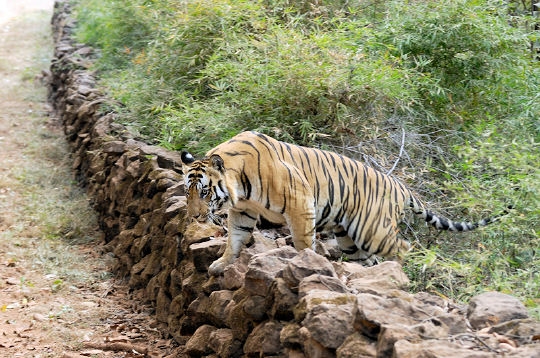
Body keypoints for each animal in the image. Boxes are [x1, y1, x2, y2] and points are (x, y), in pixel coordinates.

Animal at [181, 130, 506, 276]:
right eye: (188, 192)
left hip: (372, 230)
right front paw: (220, 265)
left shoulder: (301, 204)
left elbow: (303, 242)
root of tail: (400, 186)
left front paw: (304, 262)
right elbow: (234, 241)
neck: (240, 186)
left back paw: (399, 271)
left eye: (205, 192)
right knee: (369, 260)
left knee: (404, 247)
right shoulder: (244, 212)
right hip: (349, 238)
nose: (195, 217)